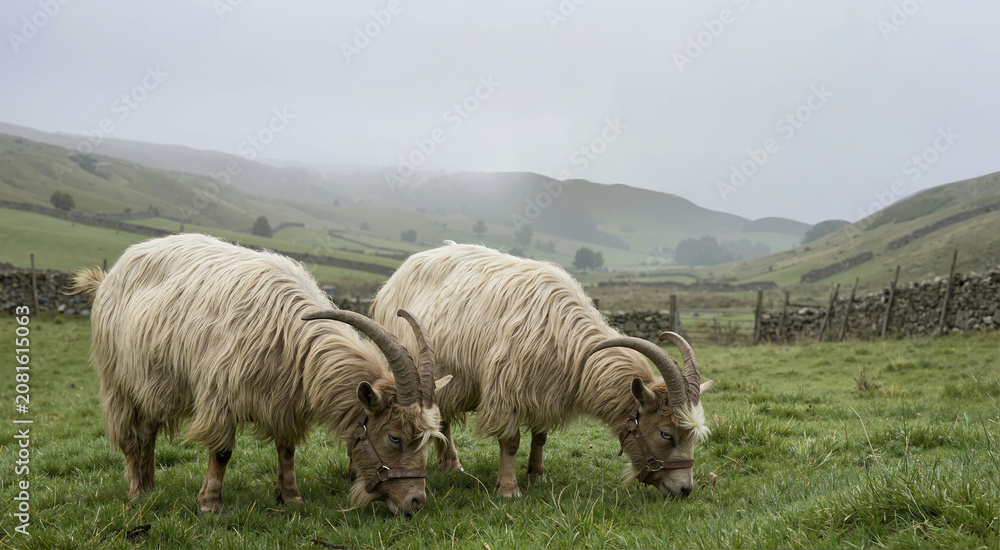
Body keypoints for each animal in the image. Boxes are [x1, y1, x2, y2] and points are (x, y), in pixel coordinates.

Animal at [67, 233, 450, 515]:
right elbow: (221, 451)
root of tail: (109, 276)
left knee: (148, 430)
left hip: (156, 382)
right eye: (395, 438)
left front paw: (291, 496)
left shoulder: (284, 397)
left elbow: (287, 448)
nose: (416, 502)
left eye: (427, 439)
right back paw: (136, 492)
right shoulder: (220, 393)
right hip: (119, 380)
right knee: (131, 436)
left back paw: (149, 487)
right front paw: (209, 504)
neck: (293, 335)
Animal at [369, 243, 711, 498]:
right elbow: (510, 442)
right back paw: (452, 463)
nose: (685, 490)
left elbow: (541, 436)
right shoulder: (507, 388)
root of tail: (395, 277)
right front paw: (509, 489)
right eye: (667, 434)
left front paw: (537, 475)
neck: (568, 340)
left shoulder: (544, 389)